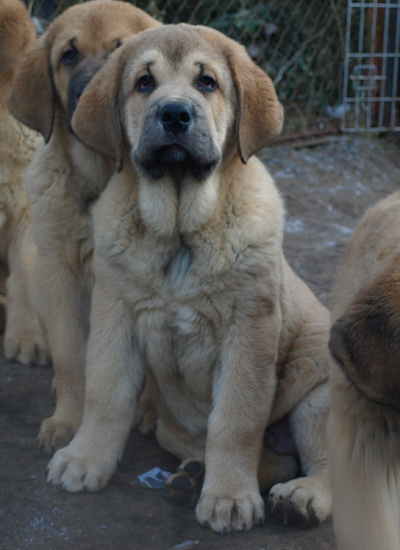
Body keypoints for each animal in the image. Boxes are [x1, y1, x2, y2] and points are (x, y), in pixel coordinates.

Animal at [7, 0, 161, 454]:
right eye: (68, 55)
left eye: (120, 51)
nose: (87, 96)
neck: (98, 178)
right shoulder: (59, 273)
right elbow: (72, 357)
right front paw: (68, 421)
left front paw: (149, 408)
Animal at [48, 24, 332, 536]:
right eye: (144, 82)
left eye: (207, 83)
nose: (175, 114)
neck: (180, 229)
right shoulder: (115, 315)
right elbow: (105, 393)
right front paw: (85, 459)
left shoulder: (248, 332)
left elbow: (235, 421)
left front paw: (229, 498)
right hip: (173, 427)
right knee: (262, 456)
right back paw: (197, 473)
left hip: (318, 391)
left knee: (325, 462)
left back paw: (300, 497)